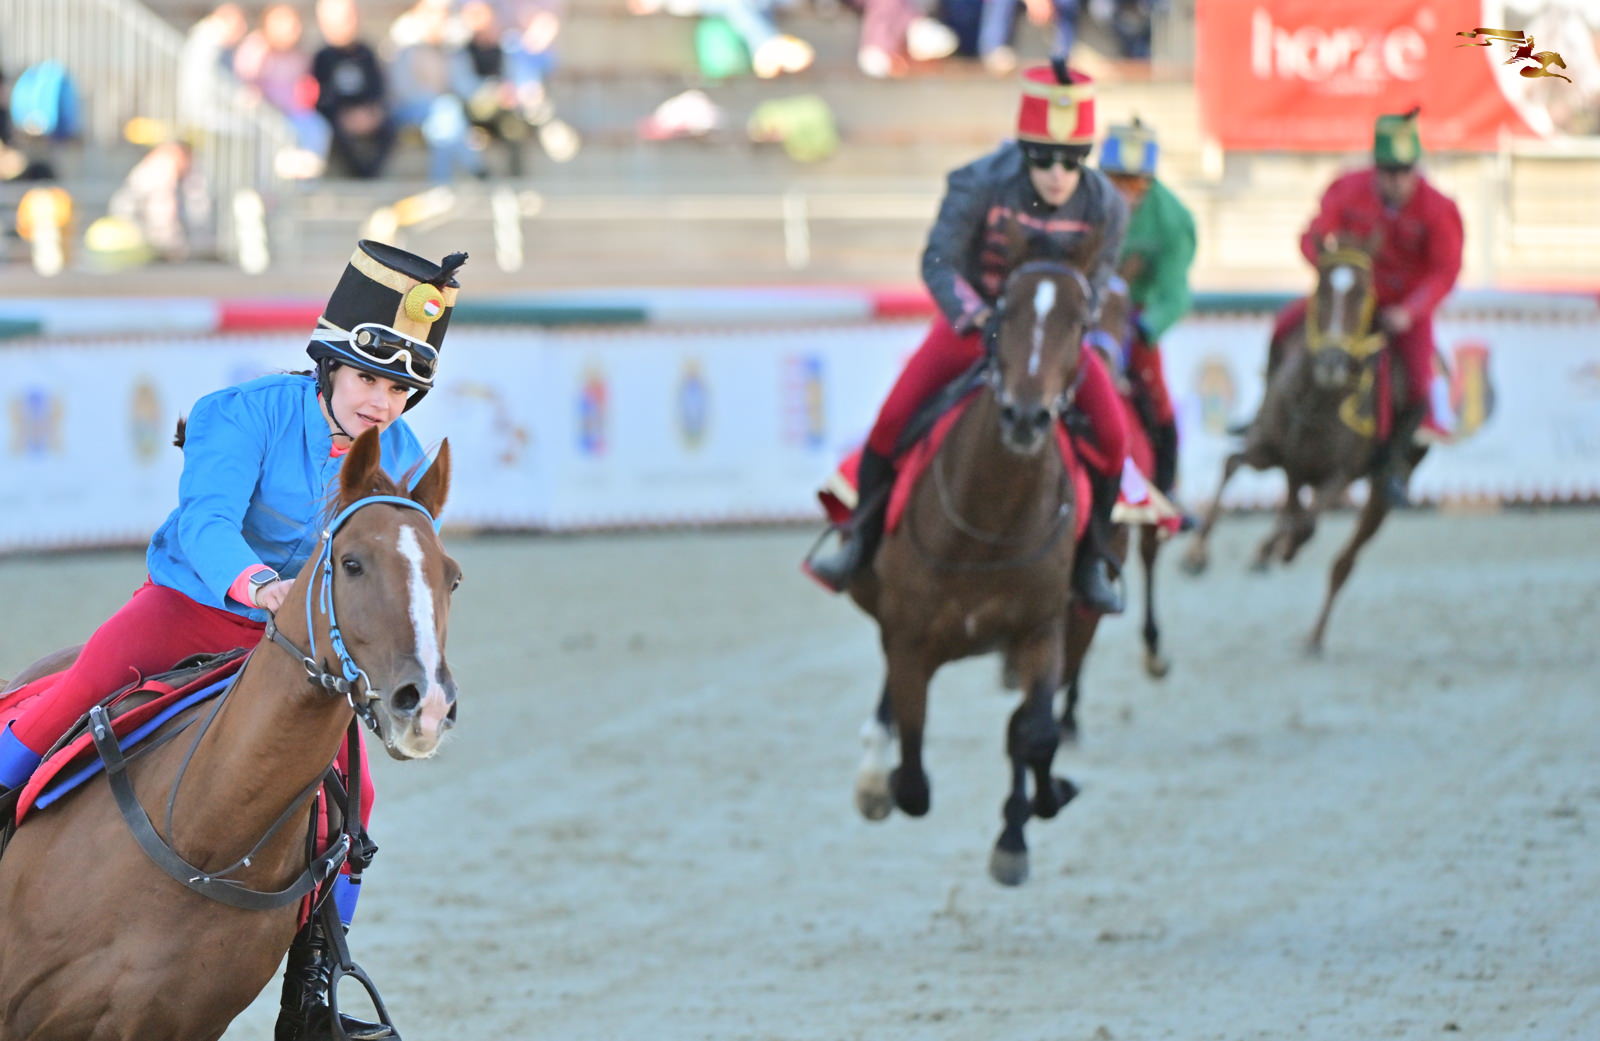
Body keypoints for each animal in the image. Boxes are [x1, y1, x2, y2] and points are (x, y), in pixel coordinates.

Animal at [846, 250, 1106, 887]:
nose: (1026, 416)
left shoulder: (1042, 630)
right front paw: (887, 778)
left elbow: (1034, 732)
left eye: (1079, 324)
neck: (989, 526)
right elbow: (914, 775)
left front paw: (1027, 822)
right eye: (1000, 316)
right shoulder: (910, 637)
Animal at [1180, 234, 1424, 653]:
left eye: (1362, 291)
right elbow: (1234, 465)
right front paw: (1196, 554)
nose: (1332, 361)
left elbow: (1306, 524)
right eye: (1322, 288)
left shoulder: (1339, 474)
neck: (1319, 400)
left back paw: (1313, 632)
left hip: (1380, 493)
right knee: (1279, 503)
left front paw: (1286, 549)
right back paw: (1265, 551)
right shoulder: (1277, 453)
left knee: (1342, 558)